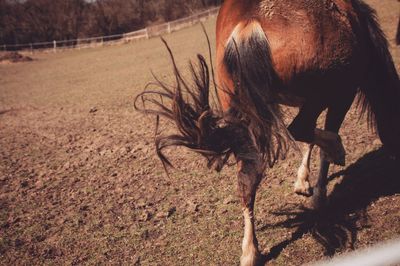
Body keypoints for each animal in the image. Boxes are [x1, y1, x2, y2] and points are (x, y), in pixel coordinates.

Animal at [135, 1, 400, 264]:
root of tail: (250, 21)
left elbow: (310, 142)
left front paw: (303, 181)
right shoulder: (342, 94)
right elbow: (318, 139)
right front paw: (319, 192)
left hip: (244, 116)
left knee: (247, 179)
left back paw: (250, 251)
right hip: (323, 93)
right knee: (300, 129)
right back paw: (336, 151)